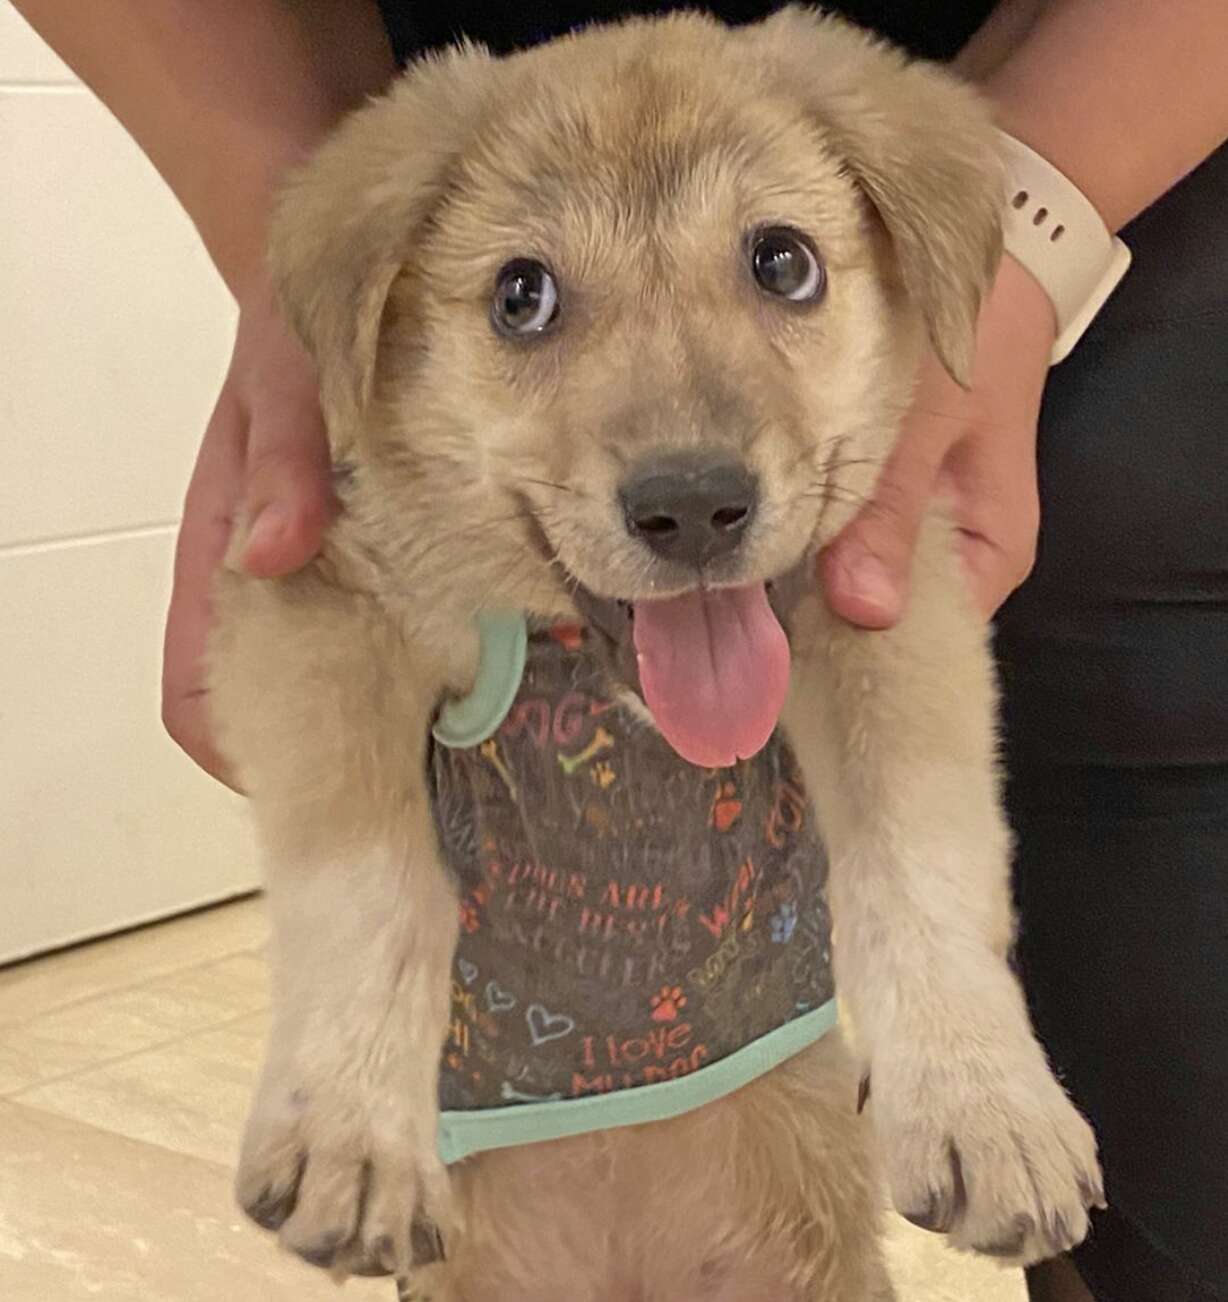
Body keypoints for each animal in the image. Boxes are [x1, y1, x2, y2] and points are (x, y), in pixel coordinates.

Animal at [208, 12, 1104, 1302]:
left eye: (782, 263)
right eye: (521, 296)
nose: (692, 507)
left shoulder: (891, 604)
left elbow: (924, 856)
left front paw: (986, 1103)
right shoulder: (318, 609)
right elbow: (370, 880)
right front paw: (347, 1127)